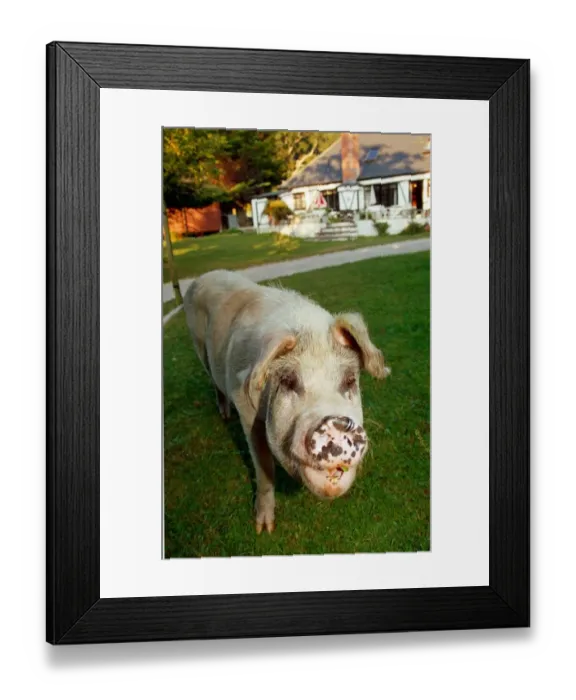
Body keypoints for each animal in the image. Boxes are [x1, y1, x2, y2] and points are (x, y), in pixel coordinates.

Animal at [182, 269, 391, 534]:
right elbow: (264, 466)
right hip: (199, 347)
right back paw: (225, 415)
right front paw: (263, 529)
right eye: (289, 381)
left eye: (350, 380)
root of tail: (202, 277)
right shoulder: (246, 409)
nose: (335, 423)